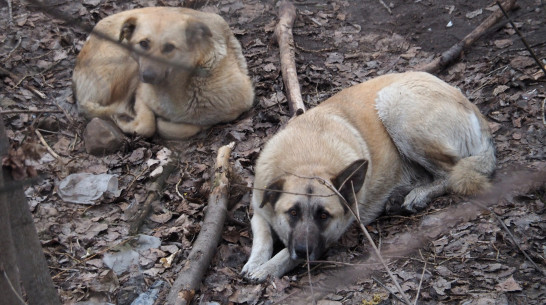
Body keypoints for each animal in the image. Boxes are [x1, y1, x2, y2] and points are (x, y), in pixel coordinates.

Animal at [70, 7, 255, 138]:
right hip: (127, 62)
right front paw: (130, 121)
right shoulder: (141, 93)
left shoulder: (240, 106)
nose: (147, 77)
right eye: (143, 43)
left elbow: (183, 127)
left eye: (169, 47)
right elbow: (147, 125)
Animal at [242, 71, 492, 280]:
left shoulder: (333, 232)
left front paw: (267, 269)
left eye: (324, 216)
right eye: (292, 213)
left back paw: (417, 195)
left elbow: (285, 253)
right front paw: (255, 263)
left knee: (450, 172)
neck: (307, 160)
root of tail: (471, 105)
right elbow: (263, 238)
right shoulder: (259, 210)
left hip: (395, 106)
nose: (304, 251)